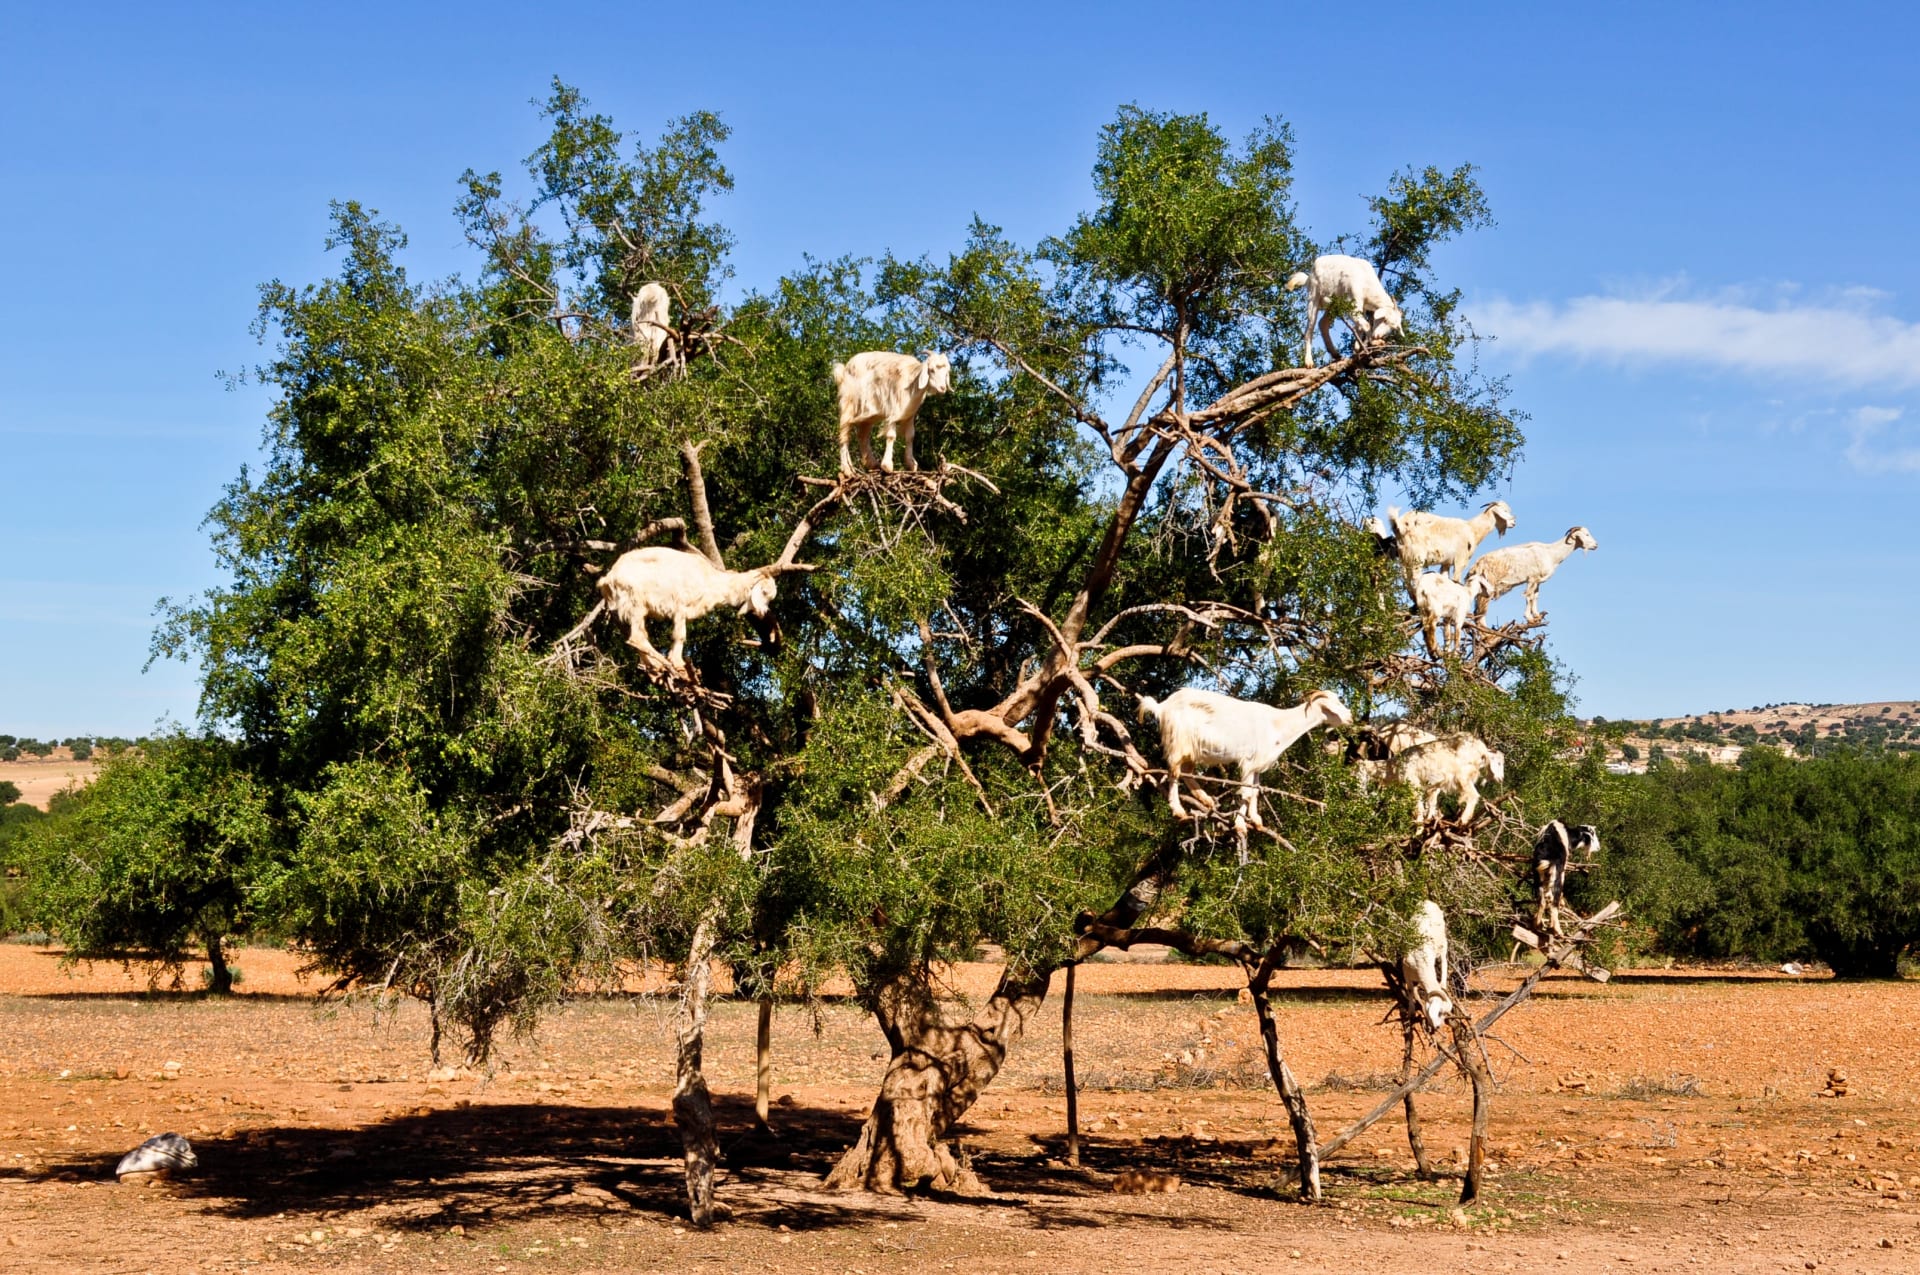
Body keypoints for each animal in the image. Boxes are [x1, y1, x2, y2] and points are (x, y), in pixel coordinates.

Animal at [596, 546, 778, 672]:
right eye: (764, 591)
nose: (762, 612)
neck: (710, 580)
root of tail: (609, 578)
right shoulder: (680, 607)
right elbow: (680, 635)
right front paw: (677, 662)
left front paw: (675, 659)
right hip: (636, 602)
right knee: (637, 637)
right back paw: (660, 662)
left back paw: (653, 664)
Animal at [1137, 687, 1353, 825]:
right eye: (1335, 703)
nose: (1350, 717)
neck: (1278, 724)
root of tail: (1162, 707)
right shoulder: (1248, 762)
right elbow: (1246, 793)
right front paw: (1241, 825)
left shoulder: (1257, 765)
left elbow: (1255, 791)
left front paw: (1256, 820)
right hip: (1178, 742)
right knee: (1174, 773)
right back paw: (1178, 810)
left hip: (1192, 750)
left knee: (1187, 773)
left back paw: (1206, 800)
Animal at [1388, 501, 1516, 588]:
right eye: (1504, 510)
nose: (1514, 523)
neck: (1472, 529)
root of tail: (1400, 525)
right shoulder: (1460, 559)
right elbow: (1456, 580)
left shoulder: (1446, 562)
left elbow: (1445, 579)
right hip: (1417, 556)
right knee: (1415, 578)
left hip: (1404, 557)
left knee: (1406, 580)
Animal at [1468, 526, 1598, 622]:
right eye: (1586, 534)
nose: (1596, 545)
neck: (1551, 553)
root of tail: (1476, 565)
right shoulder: (1532, 579)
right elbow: (1528, 596)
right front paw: (1529, 618)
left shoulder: (1538, 581)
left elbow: (1535, 596)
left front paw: (1536, 615)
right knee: (1481, 612)